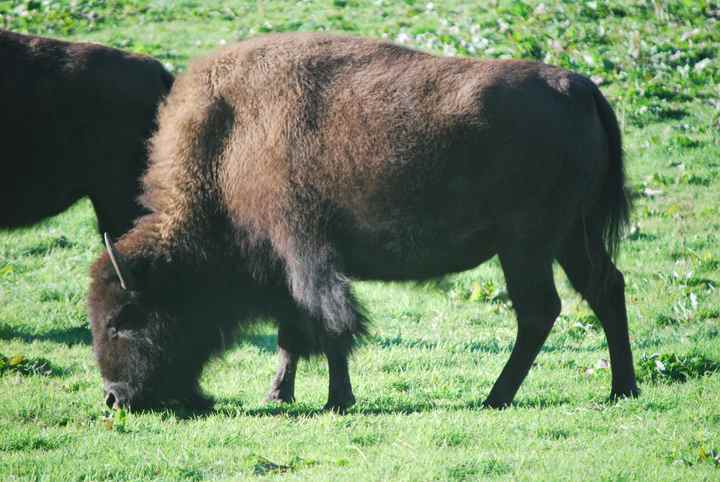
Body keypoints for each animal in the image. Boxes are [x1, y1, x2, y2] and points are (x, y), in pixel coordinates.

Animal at [89, 33, 639, 411]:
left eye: (121, 320)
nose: (114, 398)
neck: (227, 143)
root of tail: (578, 86)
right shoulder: (287, 268)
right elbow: (292, 334)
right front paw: (279, 395)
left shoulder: (307, 256)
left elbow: (330, 327)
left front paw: (337, 400)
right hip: (570, 236)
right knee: (604, 288)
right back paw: (621, 389)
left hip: (526, 244)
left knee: (539, 310)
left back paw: (495, 396)